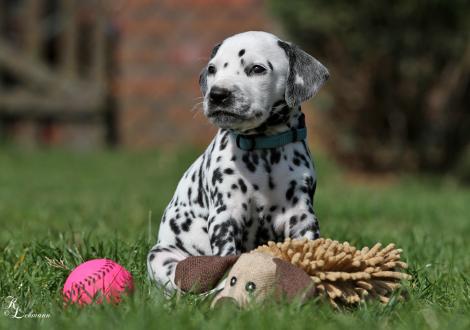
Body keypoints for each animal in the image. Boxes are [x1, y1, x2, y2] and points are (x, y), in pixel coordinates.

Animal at [149, 31, 328, 292]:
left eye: (257, 69)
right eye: (212, 69)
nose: (217, 94)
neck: (263, 150)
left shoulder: (301, 215)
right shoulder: (226, 215)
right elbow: (227, 257)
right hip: (160, 255)